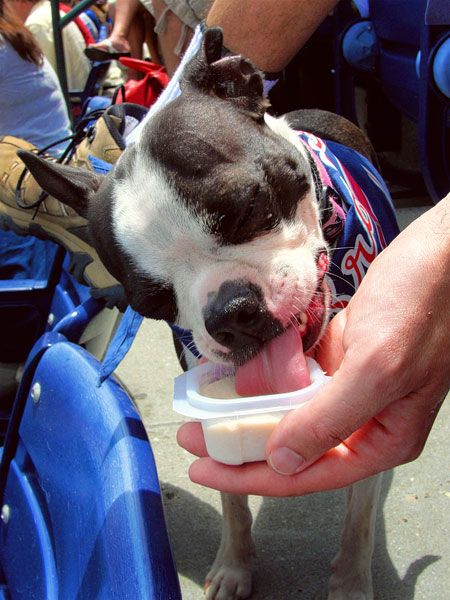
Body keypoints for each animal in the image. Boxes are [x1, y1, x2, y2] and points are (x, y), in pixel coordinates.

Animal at [18, 30, 390, 600]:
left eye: (250, 207)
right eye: (152, 303)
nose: (232, 313)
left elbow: (360, 519)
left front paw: (350, 583)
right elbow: (232, 502)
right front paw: (234, 566)